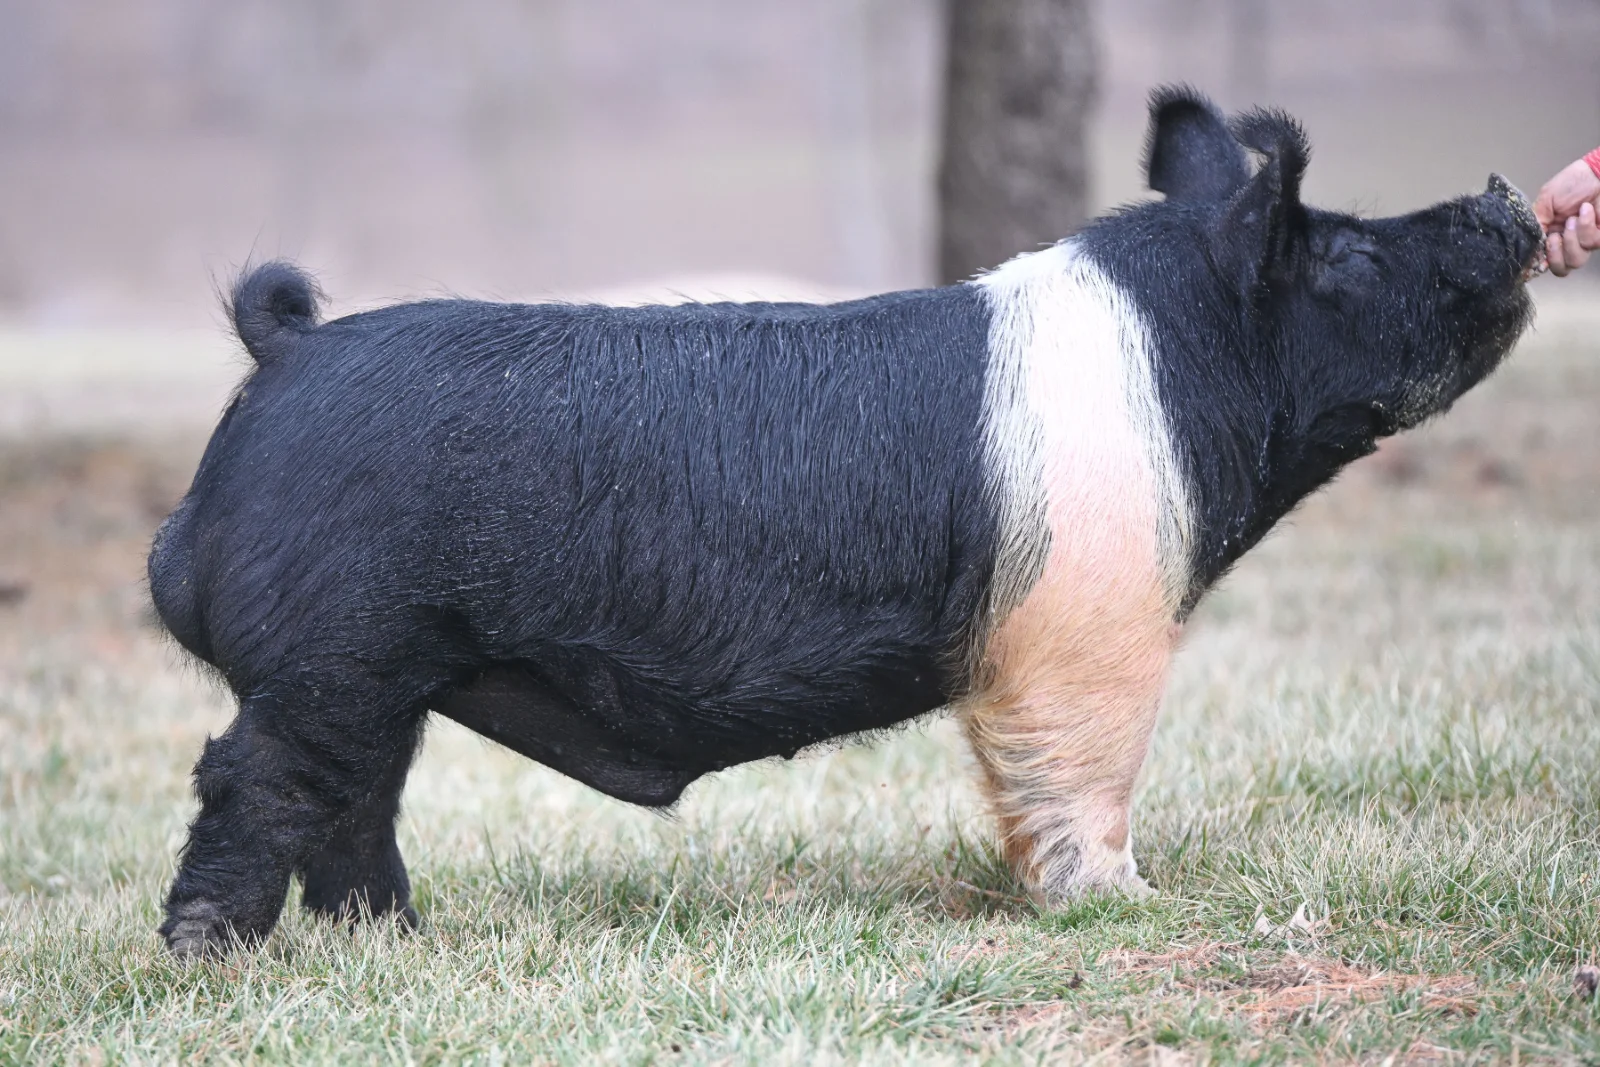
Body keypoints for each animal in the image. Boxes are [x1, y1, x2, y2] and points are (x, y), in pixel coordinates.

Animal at [148, 86, 1543, 957]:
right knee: (256, 778)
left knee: (354, 799)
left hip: (380, 671)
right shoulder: (1089, 621)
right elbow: (1087, 764)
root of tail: (286, 351)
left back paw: (395, 937)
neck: (1182, 372)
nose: (1502, 192)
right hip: (336, 652)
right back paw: (213, 958)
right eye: (1346, 254)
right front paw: (1120, 903)